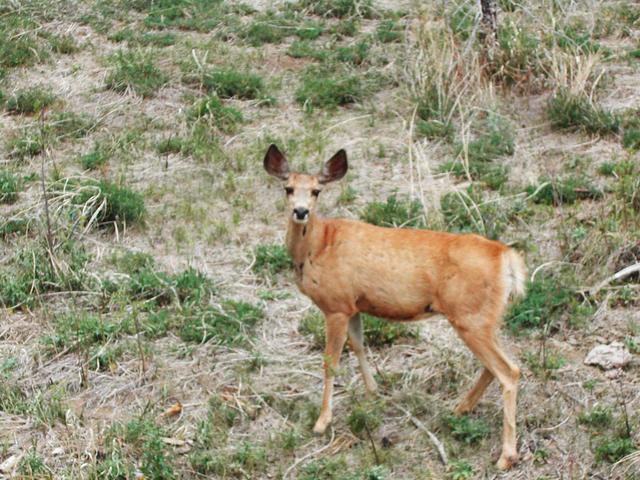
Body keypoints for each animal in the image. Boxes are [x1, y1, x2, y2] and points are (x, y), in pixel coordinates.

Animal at [262, 142, 528, 468]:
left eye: (316, 191)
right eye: (288, 188)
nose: (300, 212)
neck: (317, 247)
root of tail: (506, 258)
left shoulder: (335, 305)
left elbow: (330, 362)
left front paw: (322, 422)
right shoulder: (353, 305)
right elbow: (359, 345)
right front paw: (373, 393)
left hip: (470, 316)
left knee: (509, 371)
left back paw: (506, 456)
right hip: (486, 317)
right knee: (497, 366)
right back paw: (460, 409)